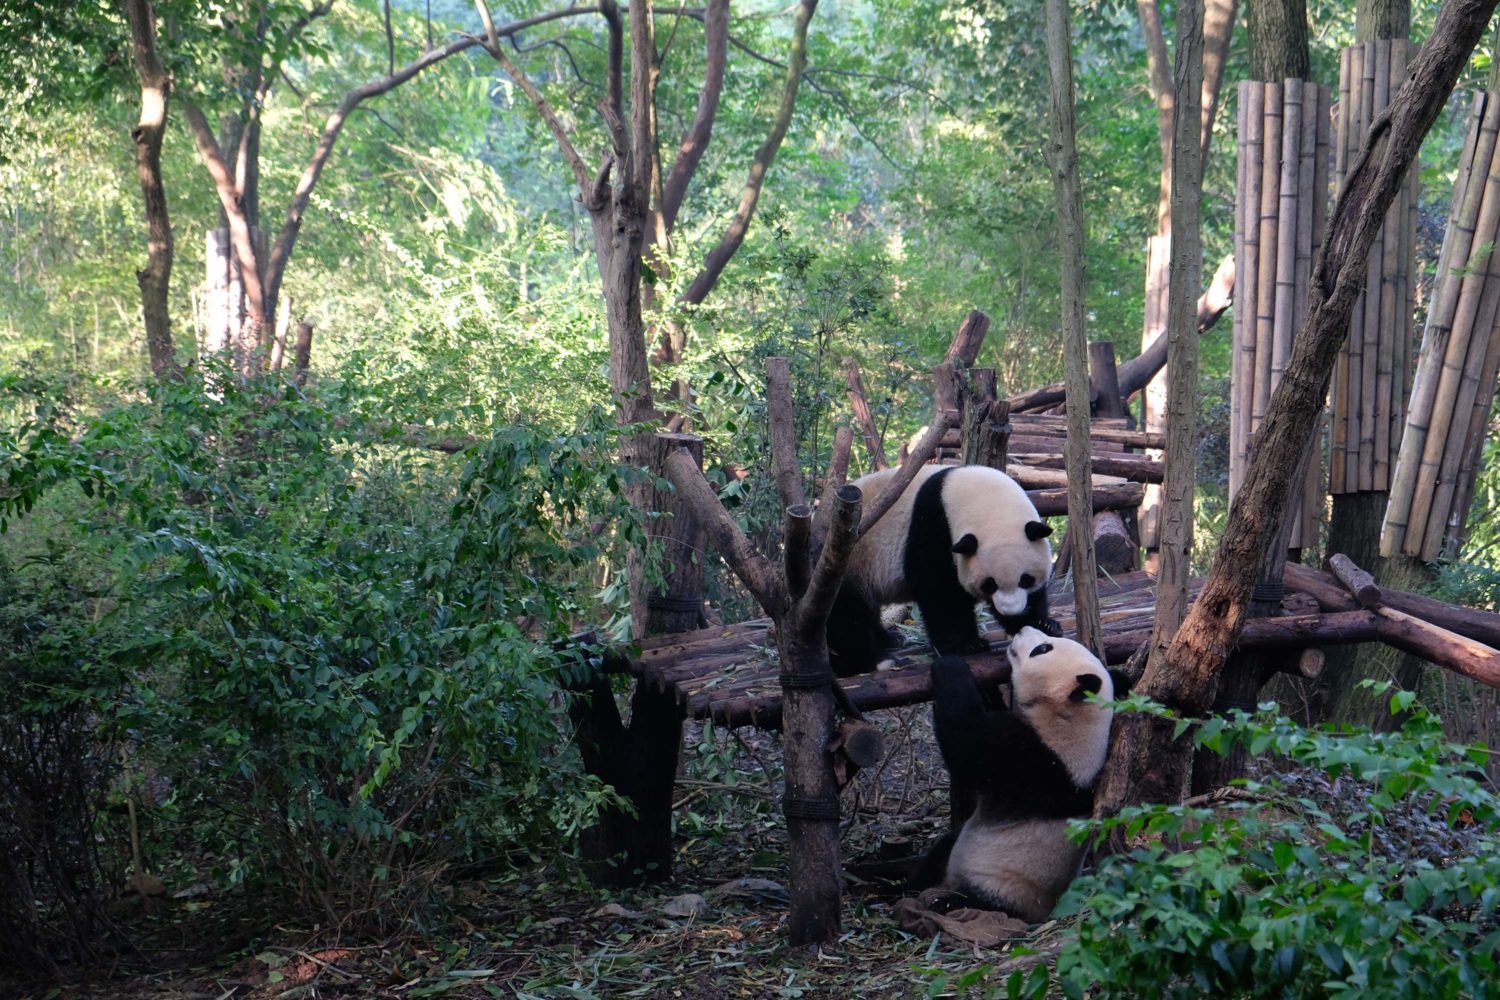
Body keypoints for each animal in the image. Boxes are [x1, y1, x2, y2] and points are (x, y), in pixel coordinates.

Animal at [828, 464, 1062, 677]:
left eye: (1026, 579)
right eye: (990, 584)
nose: (1012, 611)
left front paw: (1042, 624)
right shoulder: (933, 529)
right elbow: (940, 592)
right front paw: (967, 645)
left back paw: (889, 639)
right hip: (846, 562)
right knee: (847, 618)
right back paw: (869, 662)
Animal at [906, 629, 1122, 929]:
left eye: (1042, 649)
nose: (1022, 630)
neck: (1070, 720)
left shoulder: (1036, 765)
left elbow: (968, 744)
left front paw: (950, 665)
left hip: (1005, 885)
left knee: (979, 901)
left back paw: (945, 902)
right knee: (941, 850)